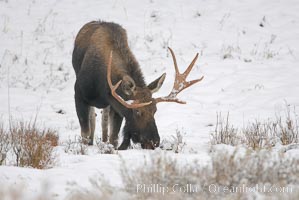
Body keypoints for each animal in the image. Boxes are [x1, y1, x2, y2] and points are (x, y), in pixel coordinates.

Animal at [72, 21, 204, 150]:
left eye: (155, 110)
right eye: (137, 111)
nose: (153, 141)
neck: (102, 88)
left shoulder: (116, 106)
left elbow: (113, 138)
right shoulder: (79, 95)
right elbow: (85, 132)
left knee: (104, 121)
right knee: (93, 119)